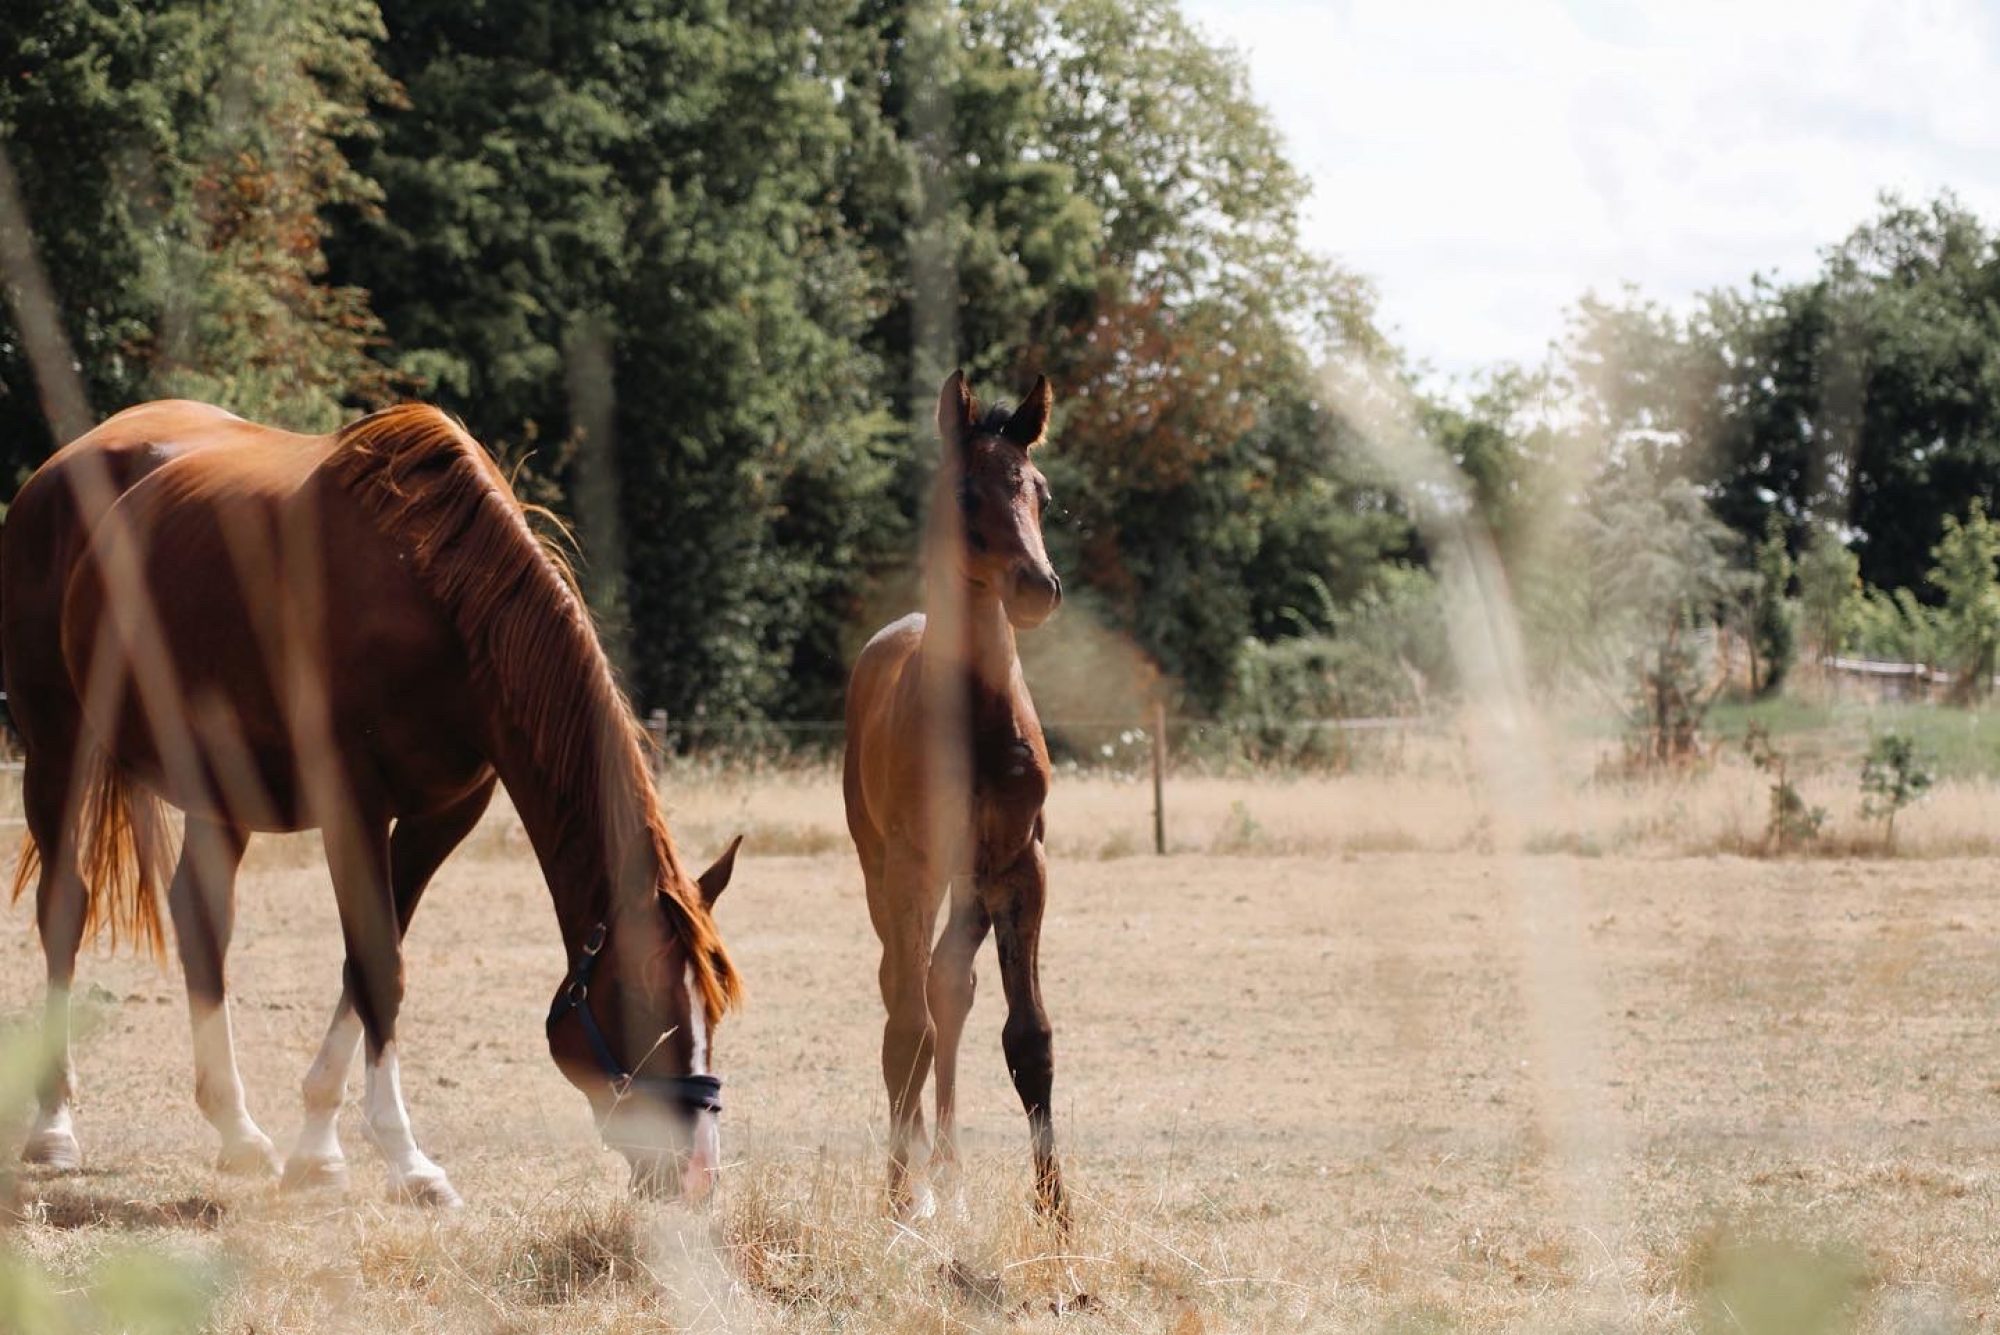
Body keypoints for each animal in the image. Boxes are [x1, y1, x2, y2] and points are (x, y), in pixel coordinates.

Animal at [0, 401, 744, 1207]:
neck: (436, 604)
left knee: (201, 918)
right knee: (64, 908)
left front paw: (318, 1148)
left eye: (714, 1009)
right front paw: (407, 1161)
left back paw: (239, 1131)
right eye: (641, 1003)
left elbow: (365, 966)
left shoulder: (436, 818)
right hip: (59, 750)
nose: (697, 1173)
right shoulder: (351, 806)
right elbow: (380, 966)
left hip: (218, 791)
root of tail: (54, 471)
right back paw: (54, 1127)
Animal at [840, 369, 1064, 1223]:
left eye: (1039, 488)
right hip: (886, 867)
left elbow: (1027, 1037)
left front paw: (1057, 1211)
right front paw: (902, 1199)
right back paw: (916, 1175)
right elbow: (908, 1028)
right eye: (967, 492)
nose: (1038, 586)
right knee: (905, 993)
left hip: (971, 883)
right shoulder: (912, 865)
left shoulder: (1022, 865)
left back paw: (948, 1166)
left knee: (949, 986)